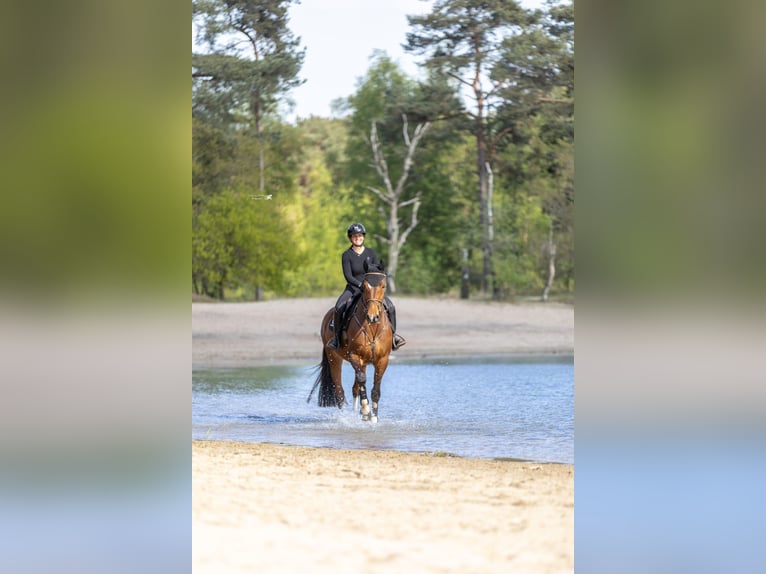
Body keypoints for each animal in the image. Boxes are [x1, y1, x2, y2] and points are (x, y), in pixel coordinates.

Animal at [307, 261, 393, 422]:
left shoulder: (382, 359)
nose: (372, 316)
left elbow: (375, 388)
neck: (372, 327)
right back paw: (345, 417)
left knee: (356, 388)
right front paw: (366, 410)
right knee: (340, 391)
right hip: (334, 358)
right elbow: (362, 380)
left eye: (383, 286)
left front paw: (373, 417)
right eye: (364, 287)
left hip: (363, 362)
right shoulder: (354, 355)